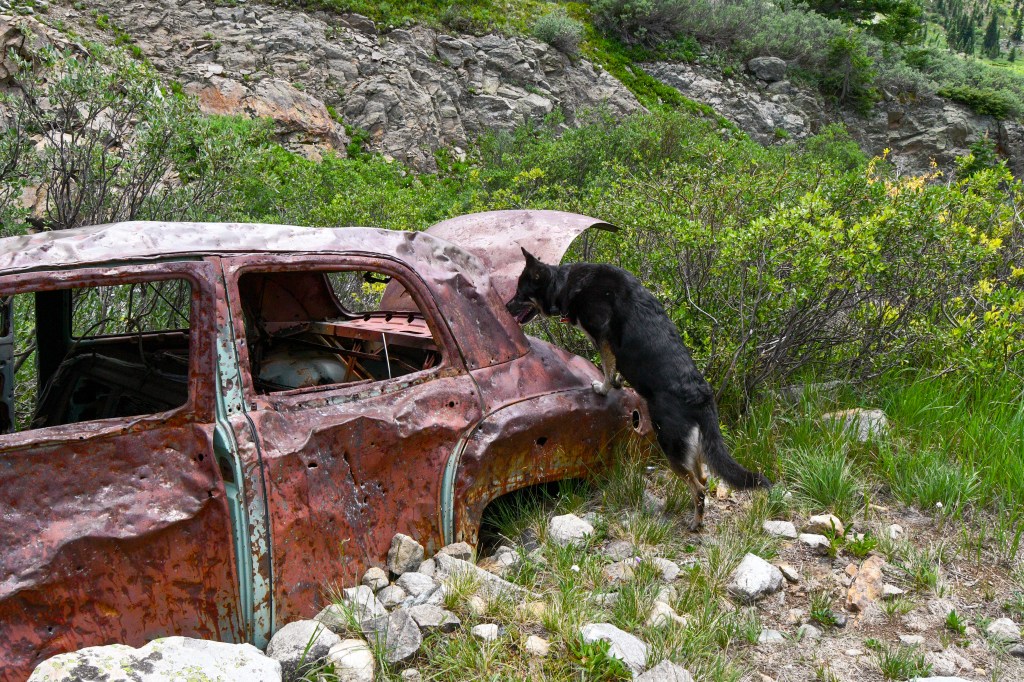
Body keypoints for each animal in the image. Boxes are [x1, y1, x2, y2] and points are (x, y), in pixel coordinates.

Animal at [507, 248, 771, 530]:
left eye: (520, 293)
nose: (505, 306)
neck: (566, 283)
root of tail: (701, 397)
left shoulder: (603, 336)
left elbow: (607, 367)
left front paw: (603, 387)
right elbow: (613, 369)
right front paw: (616, 383)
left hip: (670, 443)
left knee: (698, 488)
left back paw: (696, 522)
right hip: (690, 446)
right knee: (703, 479)